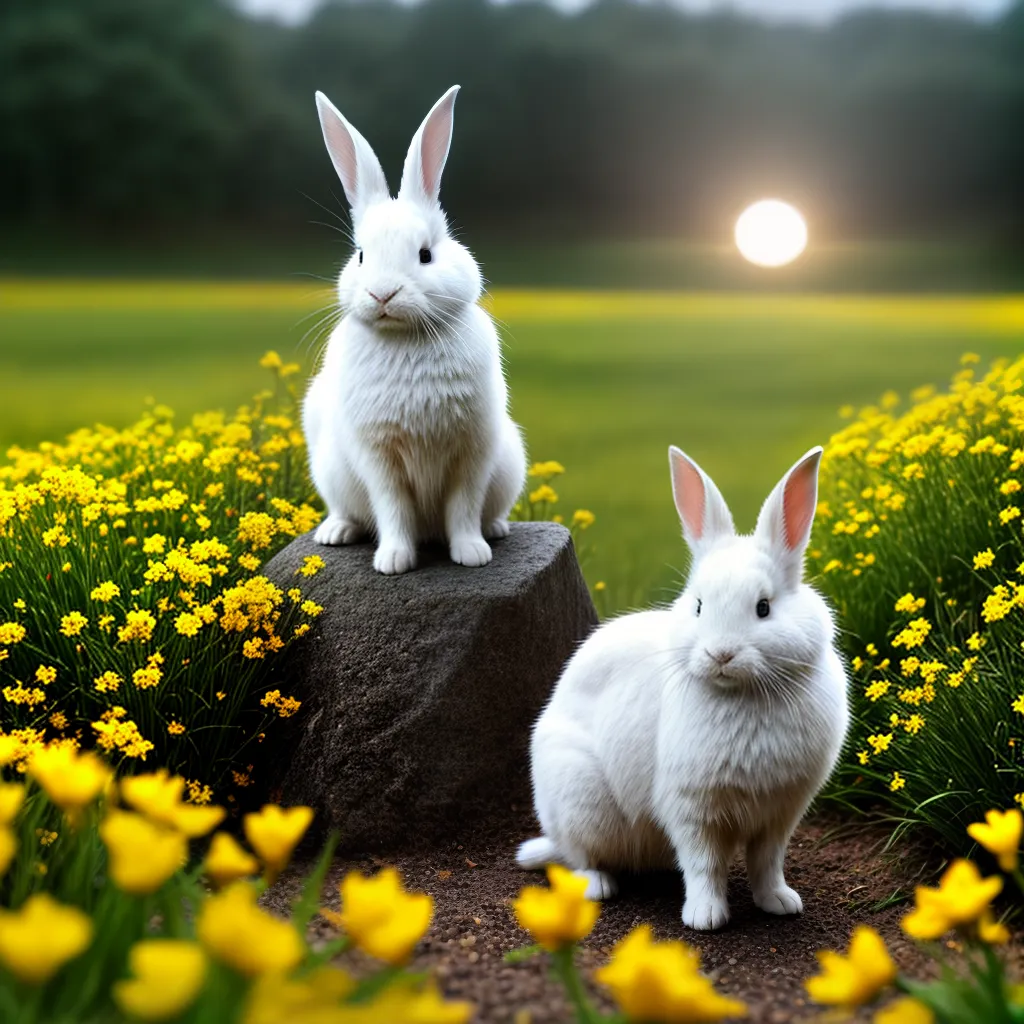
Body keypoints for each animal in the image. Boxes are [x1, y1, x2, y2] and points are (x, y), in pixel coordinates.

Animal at [302, 85, 526, 575]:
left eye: (425, 254)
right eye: (360, 255)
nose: (382, 294)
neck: (405, 337)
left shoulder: (472, 450)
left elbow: (463, 506)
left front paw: (472, 555)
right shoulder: (378, 456)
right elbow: (393, 508)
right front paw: (394, 561)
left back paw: (496, 530)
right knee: (349, 511)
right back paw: (335, 533)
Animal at [517, 445, 849, 931]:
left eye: (764, 608)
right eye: (698, 606)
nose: (720, 653)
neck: (741, 694)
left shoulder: (780, 813)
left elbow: (767, 862)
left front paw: (780, 902)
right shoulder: (690, 806)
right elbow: (703, 863)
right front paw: (705, 917)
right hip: (577, 800)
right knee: (581, 858)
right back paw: (598, 886)